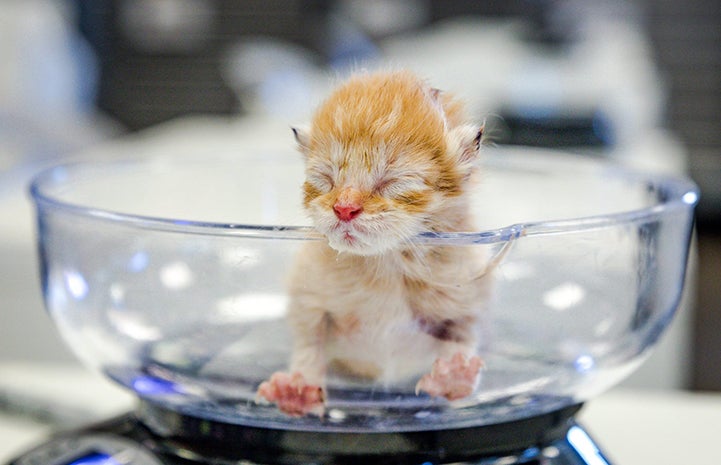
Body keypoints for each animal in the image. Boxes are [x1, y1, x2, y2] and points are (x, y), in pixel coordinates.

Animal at [256, 70, 492, 416]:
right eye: (326, 180)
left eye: (391, 183)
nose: (344, 208)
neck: (386, 263)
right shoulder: (307, 299)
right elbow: (309, 344)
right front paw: (298, 390)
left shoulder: (467, 302)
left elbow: (461, 341)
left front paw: (453, 378)